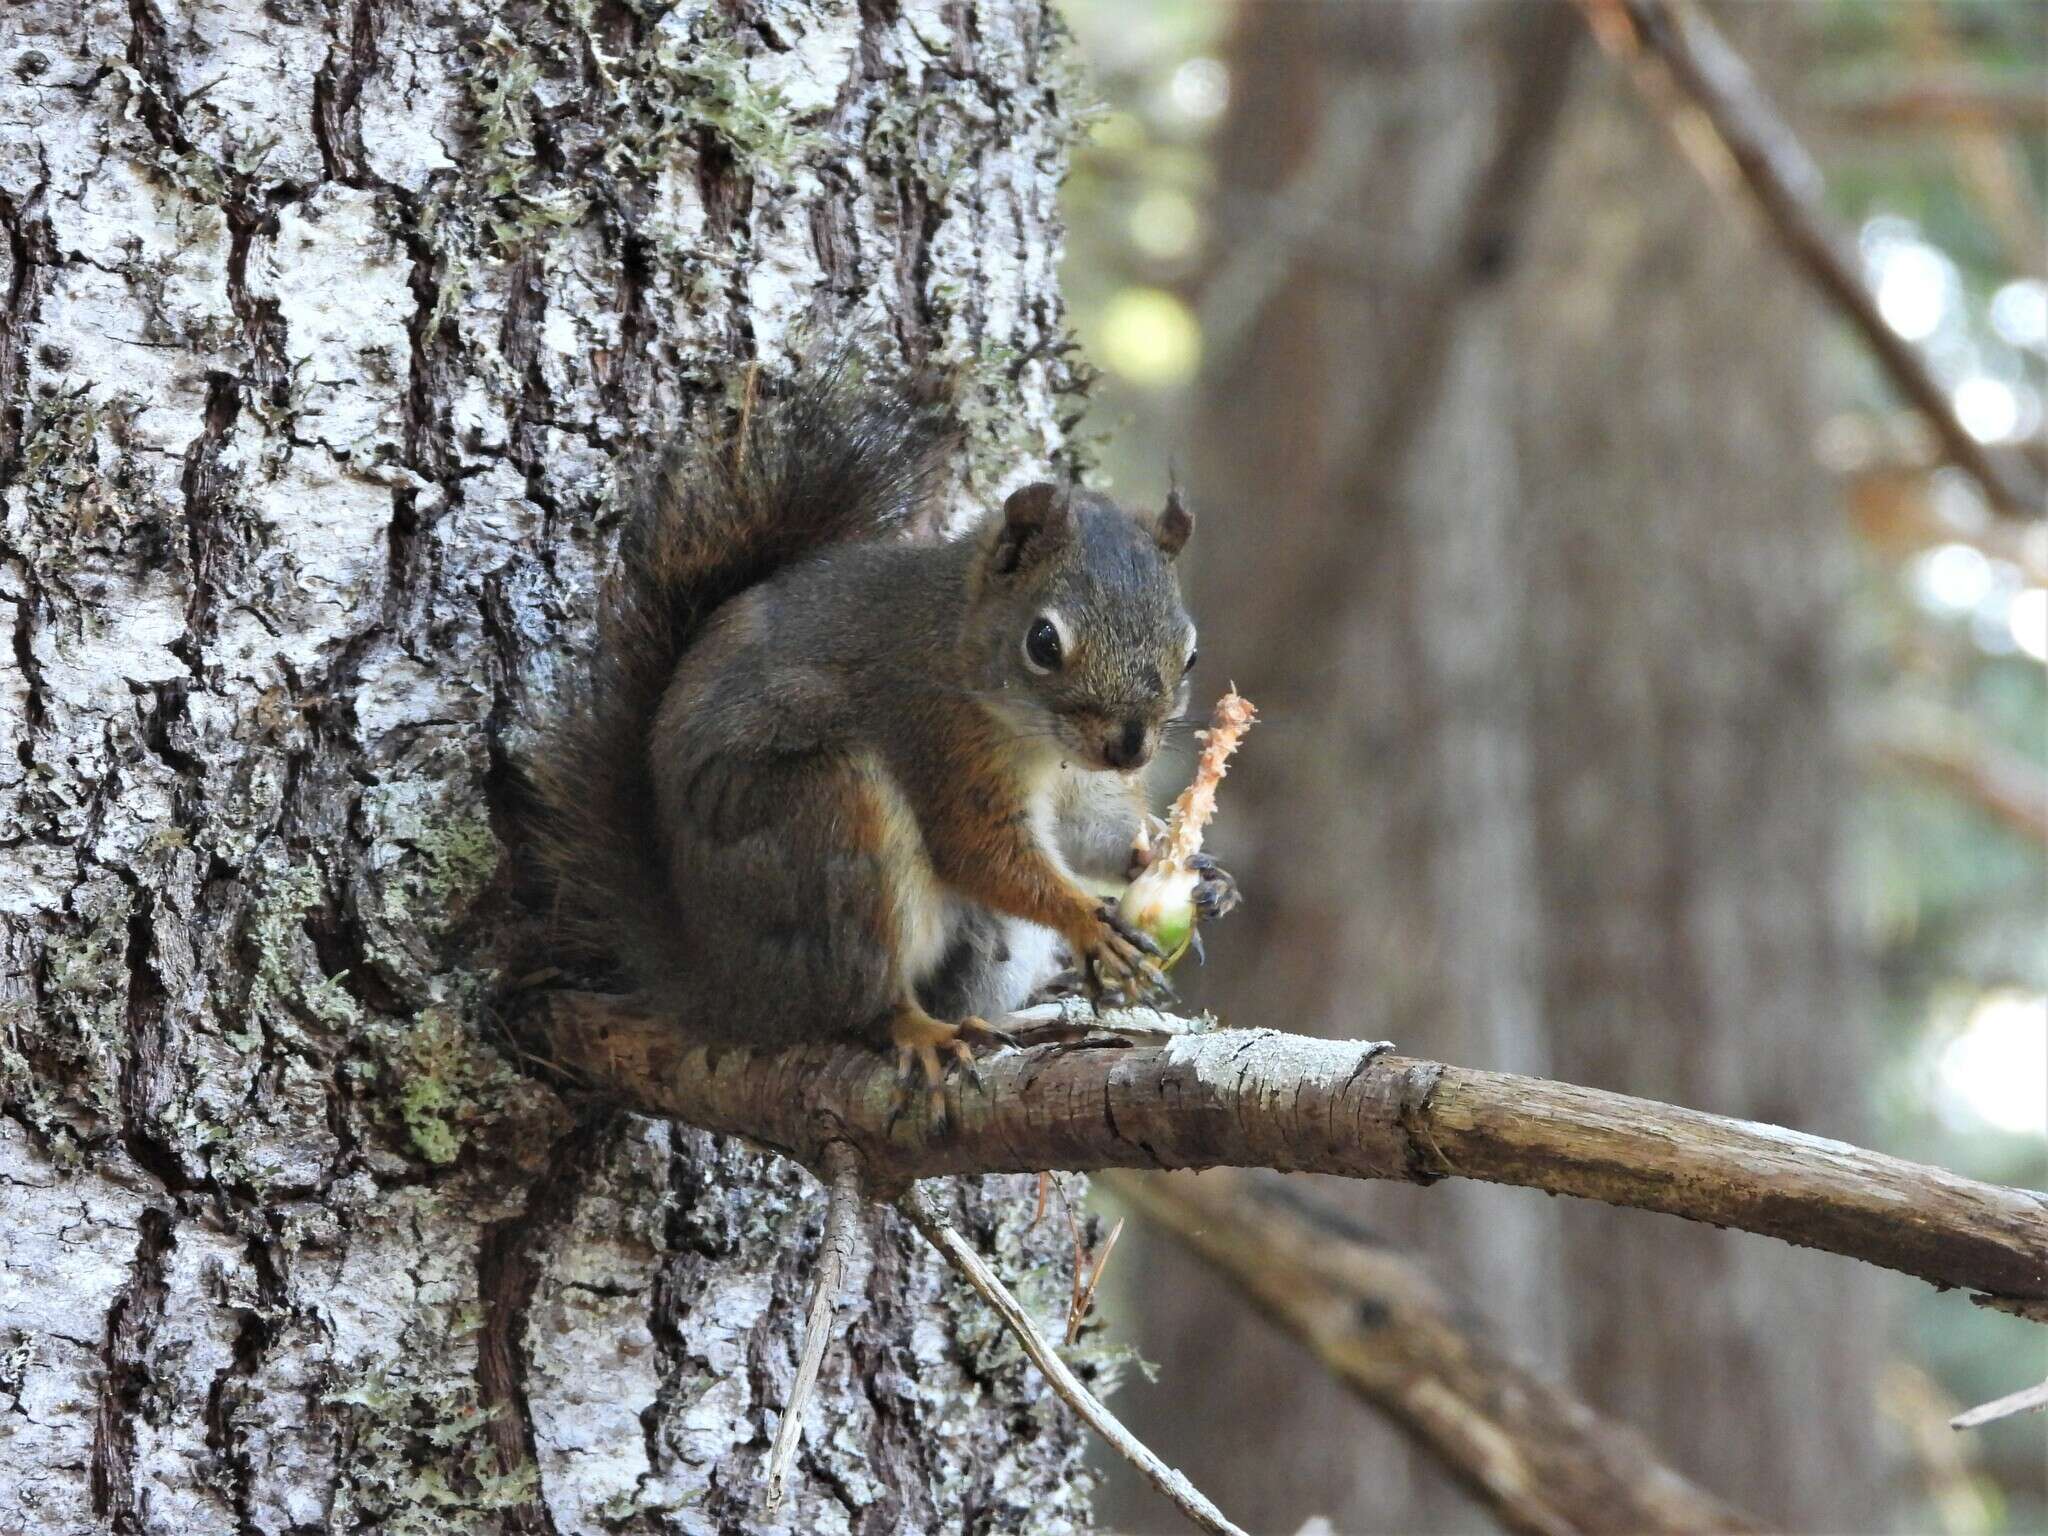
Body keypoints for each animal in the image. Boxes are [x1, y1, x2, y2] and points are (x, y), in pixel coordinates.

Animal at [528, 364, 1228, 1097]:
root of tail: (724, 986)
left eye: (1191, 654)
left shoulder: (1081, 783)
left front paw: (1184, 868)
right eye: (1043, 642)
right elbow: (977, 849)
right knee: (858, 999)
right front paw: (1088, 922)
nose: (1129, 747)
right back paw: (920, 1030)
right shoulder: (935, 736)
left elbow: (1093, 832)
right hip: (827, 825)